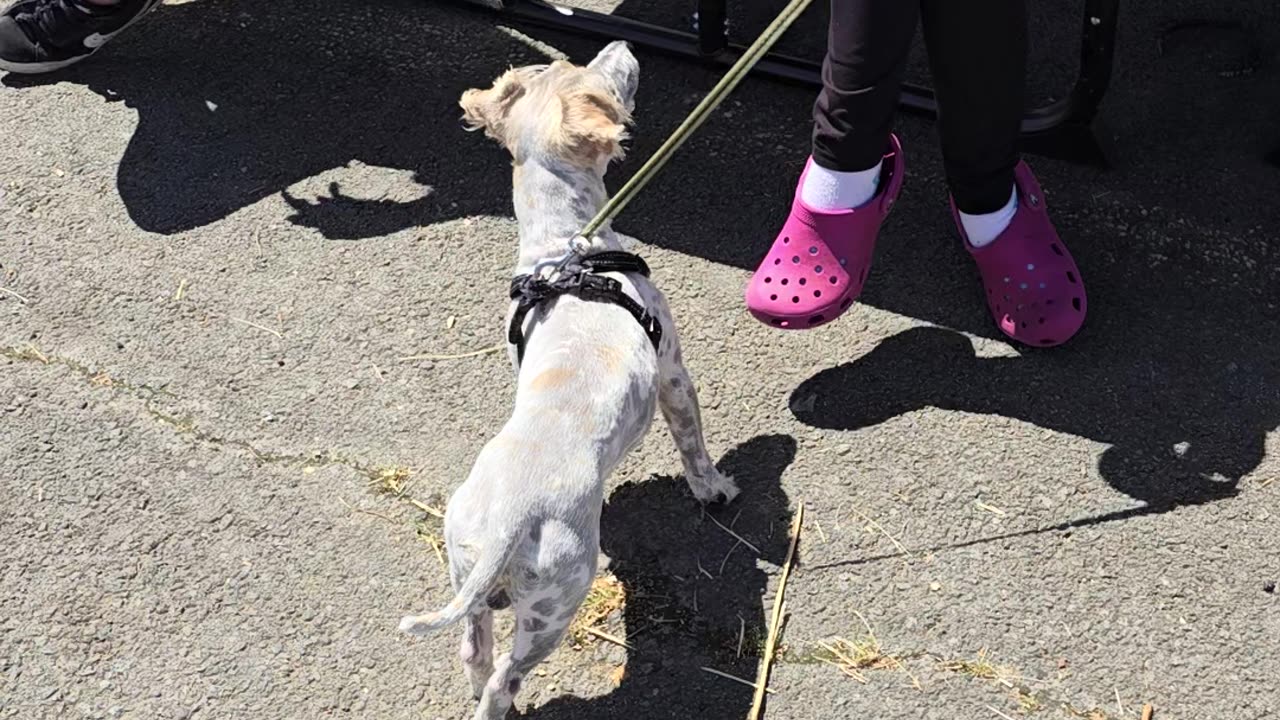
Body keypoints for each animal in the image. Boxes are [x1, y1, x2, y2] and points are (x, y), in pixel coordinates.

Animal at [399, 41, 742, 712]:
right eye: (595, 78)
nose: (621, 45)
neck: (565, 249)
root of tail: (508, 522)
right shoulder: (673, 371)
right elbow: (694, 444)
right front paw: (715, 489)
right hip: (559, 597)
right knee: (505, 675)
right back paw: (504, 702)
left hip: (464, 562)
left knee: (474, 650)